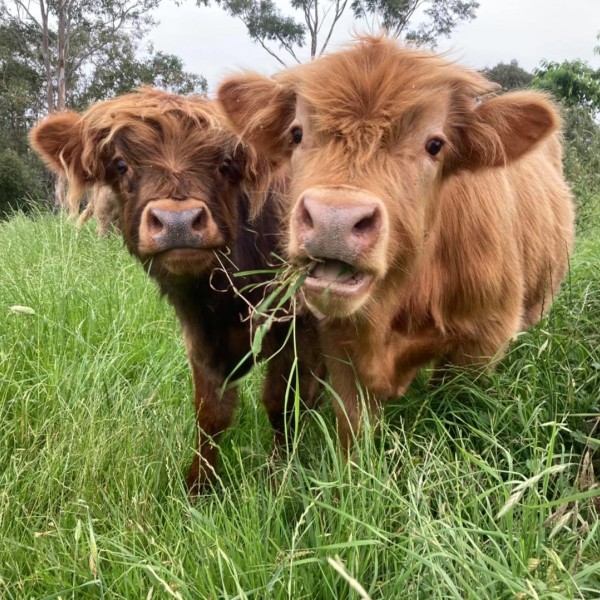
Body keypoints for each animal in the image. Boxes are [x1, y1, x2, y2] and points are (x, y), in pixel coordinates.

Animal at [30, 89, 324, 492]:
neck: (225, 301)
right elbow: (211, 412)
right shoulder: (201, 336)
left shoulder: (297, 327)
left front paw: (278, 477)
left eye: (226, 164)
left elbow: (282, 404)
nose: (177, 222)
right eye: (121, 165)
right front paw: (199, 486)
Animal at [218, 36, 576, 450]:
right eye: (297, 134)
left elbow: (457, 415)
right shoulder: (339, 342)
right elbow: (354, 427)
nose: (334, 219)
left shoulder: (482, 339)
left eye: (435, 144)